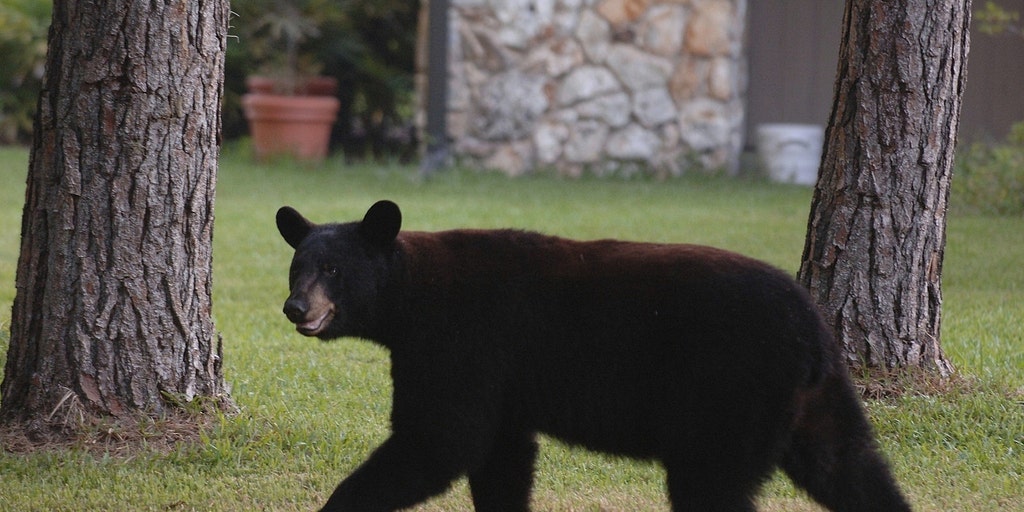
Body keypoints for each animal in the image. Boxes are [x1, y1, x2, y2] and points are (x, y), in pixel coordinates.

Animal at [276, 200, 912, 512]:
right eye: (296, 265)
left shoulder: (460, 347)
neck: (411, 298)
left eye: (332, 269)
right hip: (817, 401)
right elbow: (502, 461)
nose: (295, 307)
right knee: (852, 469)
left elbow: (440, 439)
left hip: (728, 394)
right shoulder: (504, 385)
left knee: (713, 487)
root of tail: (811, 327)